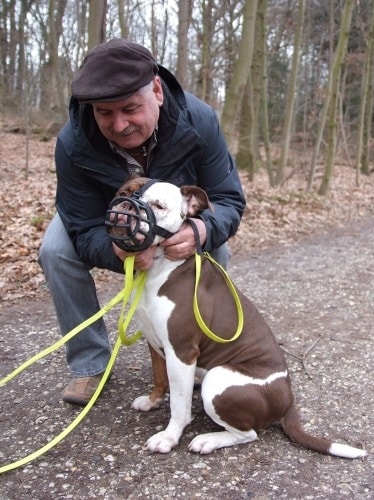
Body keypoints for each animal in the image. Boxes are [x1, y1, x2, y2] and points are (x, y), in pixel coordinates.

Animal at [107, 177, 366, 458]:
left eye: (159, 205)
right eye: (123, 192)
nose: (125, 206)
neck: (160, 267)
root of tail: (288, 401)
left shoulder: (182, 352)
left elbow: (178, 404)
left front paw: (169, 437)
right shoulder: (156, 342)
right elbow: (159, 377)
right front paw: (152, 401)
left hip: (217, 380)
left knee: (248, 434)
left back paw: (208, 440)